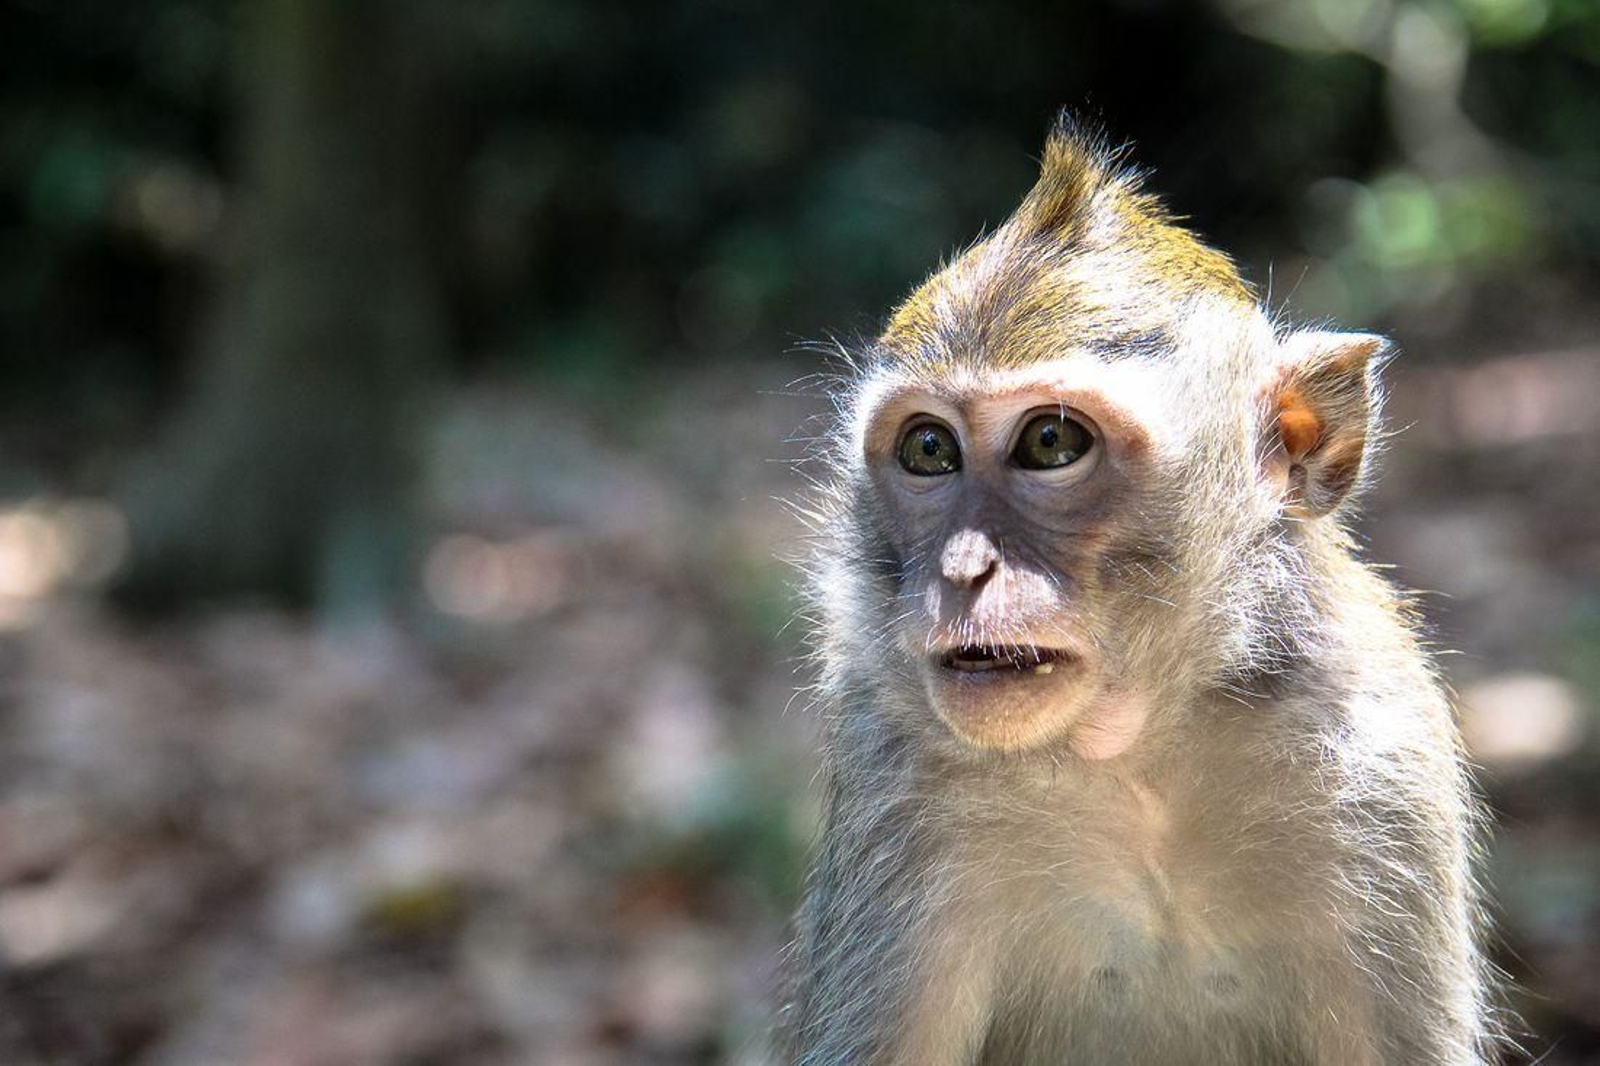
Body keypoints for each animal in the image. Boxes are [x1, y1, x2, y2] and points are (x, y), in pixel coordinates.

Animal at [777, 116, 1503, 1065]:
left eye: (1050, 442)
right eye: (930, 449)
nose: (964, 570)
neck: (1136, 752)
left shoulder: (1383, 765)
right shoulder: (897, 777)